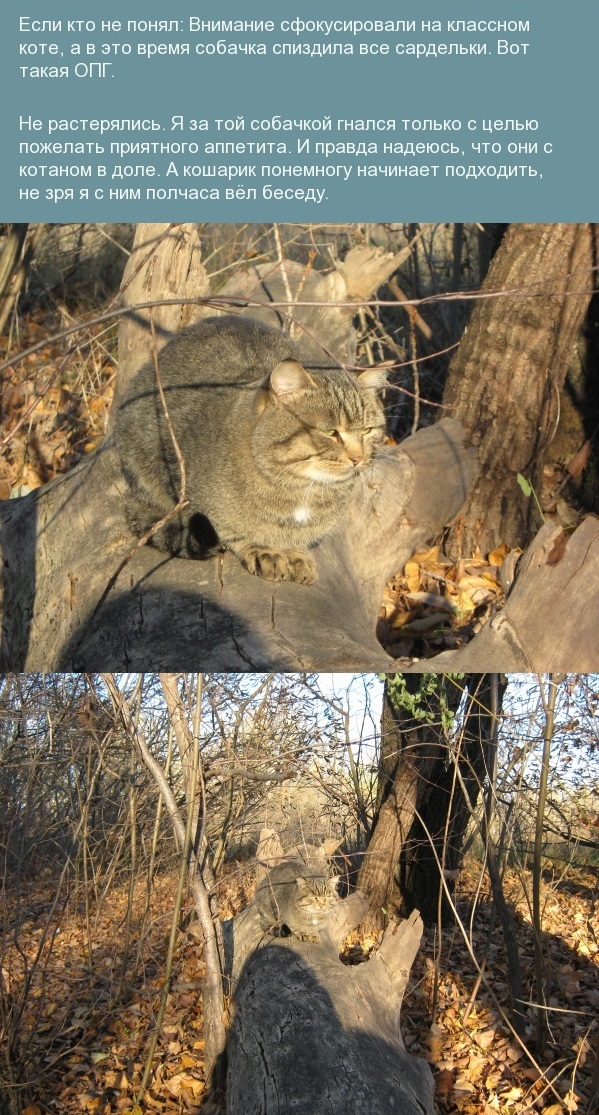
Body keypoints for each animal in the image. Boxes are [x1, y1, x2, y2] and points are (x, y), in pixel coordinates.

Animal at [113, 314, 385, 584]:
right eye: (330, 432)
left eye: (367, 430)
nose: (358, 458)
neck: (300, 489)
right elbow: (233, 530)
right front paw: (264, 549)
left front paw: (294, 552)